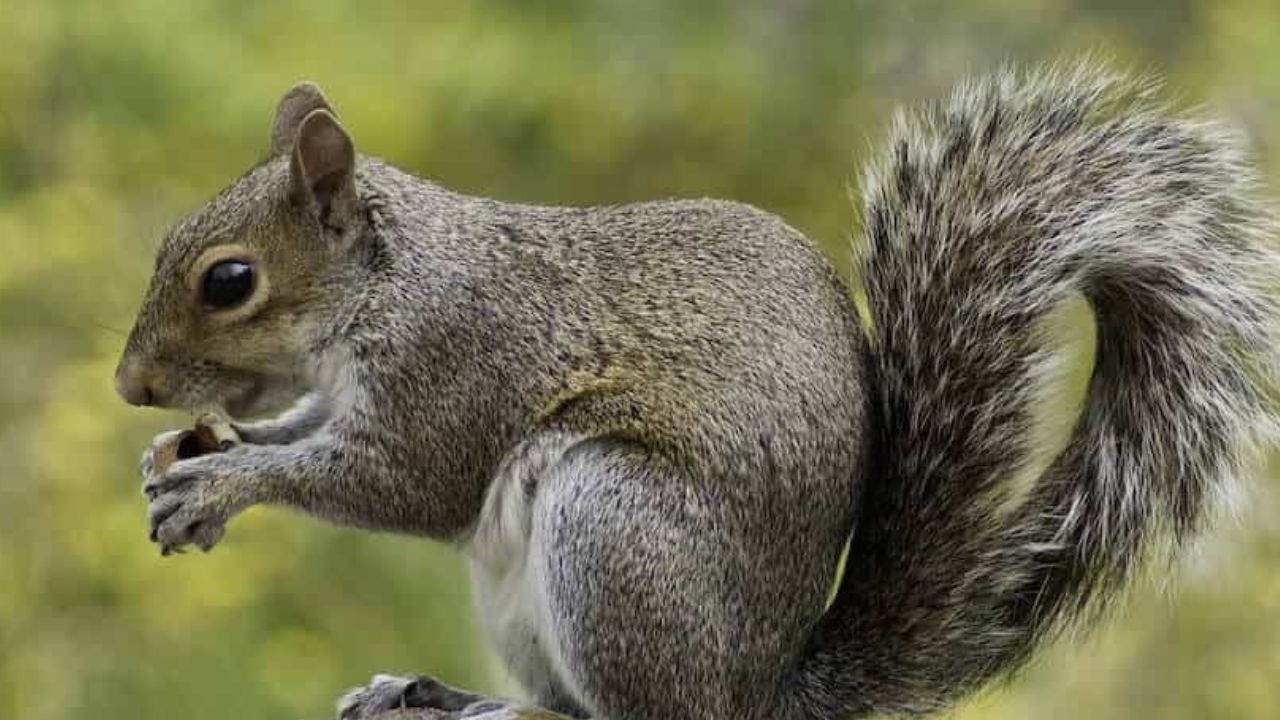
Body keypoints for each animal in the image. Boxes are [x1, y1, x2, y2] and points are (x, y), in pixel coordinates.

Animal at [115, 64, 1279, 720]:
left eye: (229, 281)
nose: (131, 386)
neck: (387, 283)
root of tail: (758, 693)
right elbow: (312, 429)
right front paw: (188, 458)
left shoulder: (458, 362)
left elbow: (404, 482)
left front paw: (221, 485)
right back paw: (440, 694)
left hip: (615, 527)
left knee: (640, 716)